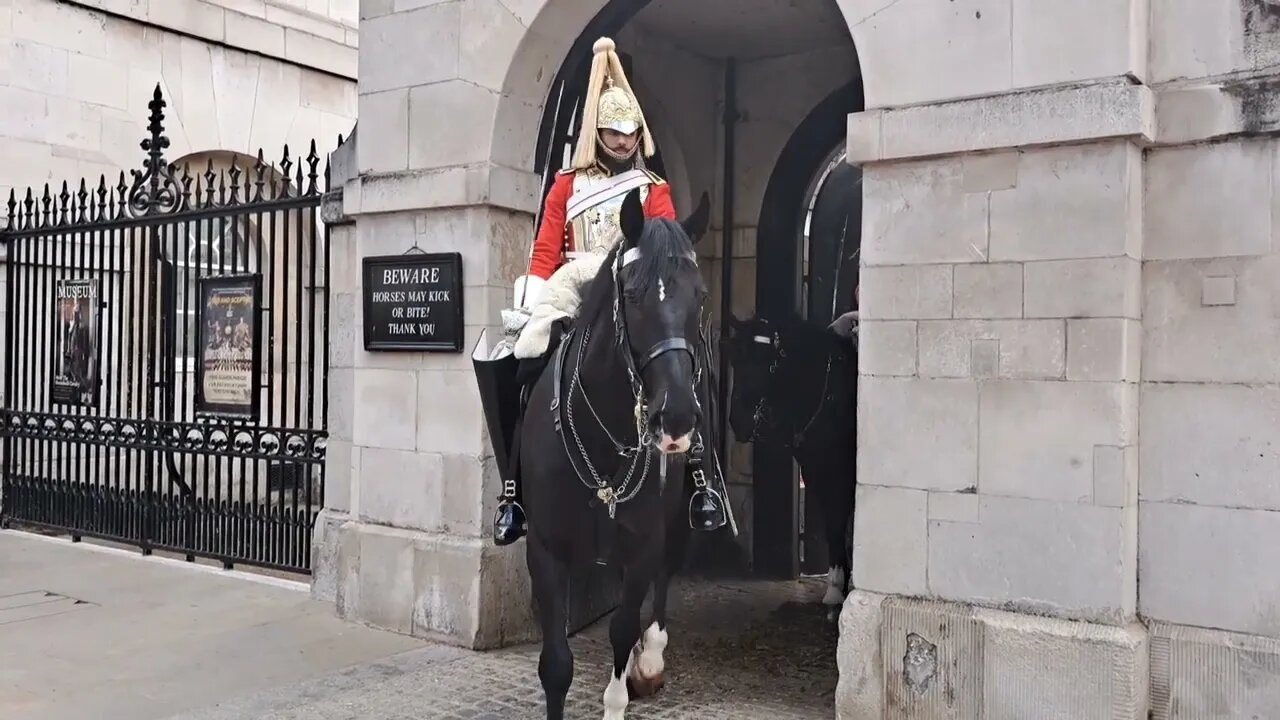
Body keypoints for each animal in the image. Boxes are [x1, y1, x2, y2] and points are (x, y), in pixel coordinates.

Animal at [522, 188, 721, 712]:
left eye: (700, 295)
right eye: (632, 295)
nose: (676, 418)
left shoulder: (644, 541)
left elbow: (623, 627)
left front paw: (628, 682)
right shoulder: (546, 549)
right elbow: (556, 665)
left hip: (675, 520)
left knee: (661, 588)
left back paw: (648, 662)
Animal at [727, 311, 855, 607]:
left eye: (767, 361)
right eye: (736, 358)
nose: (738, 421)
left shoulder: (841, 475)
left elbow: (838, 521)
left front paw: (837, 588)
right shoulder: (816, 472)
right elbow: (834, 524)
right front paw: (837, 586)